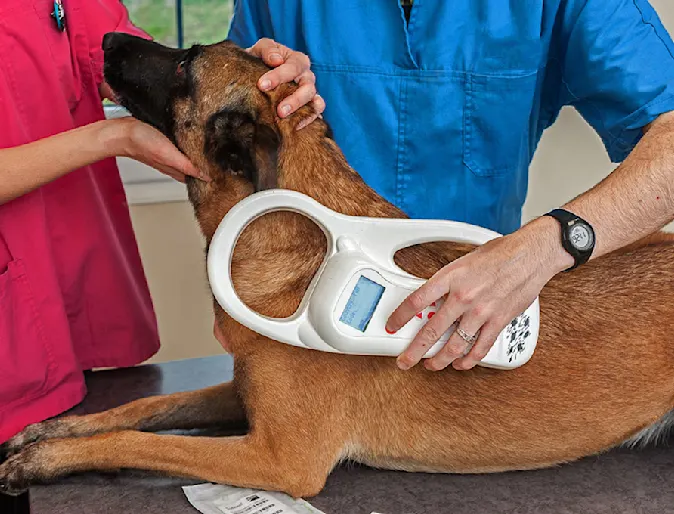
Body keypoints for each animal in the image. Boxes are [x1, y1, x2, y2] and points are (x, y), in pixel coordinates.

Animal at [1, 33, 672, 496]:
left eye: (186, 64)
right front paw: (53, 431)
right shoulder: (244, 395)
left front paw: (45, 461)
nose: (106, 39)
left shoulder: (277, 457)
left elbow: (138, 441)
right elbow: (141, 410)